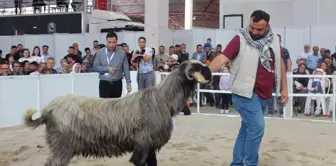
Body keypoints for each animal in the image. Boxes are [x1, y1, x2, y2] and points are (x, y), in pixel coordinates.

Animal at [23, 60, 211, 166]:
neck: (163, 99)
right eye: (197, 67)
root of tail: (48, 109)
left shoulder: (150, 145)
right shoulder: (142, 145)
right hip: (62, 146)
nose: (210, 73)